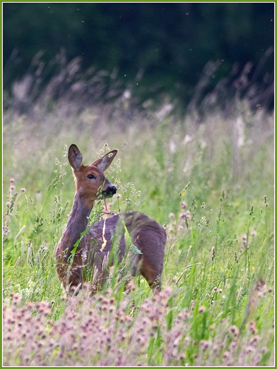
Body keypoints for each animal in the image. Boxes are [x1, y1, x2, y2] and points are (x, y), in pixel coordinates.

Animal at [55, 144, 165, 294]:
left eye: (105, 175)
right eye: (91, 175)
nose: (112, 188)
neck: (73, 251)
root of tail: (162, 229)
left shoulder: (99, 274)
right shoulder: (66, 282)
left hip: (155, 263)